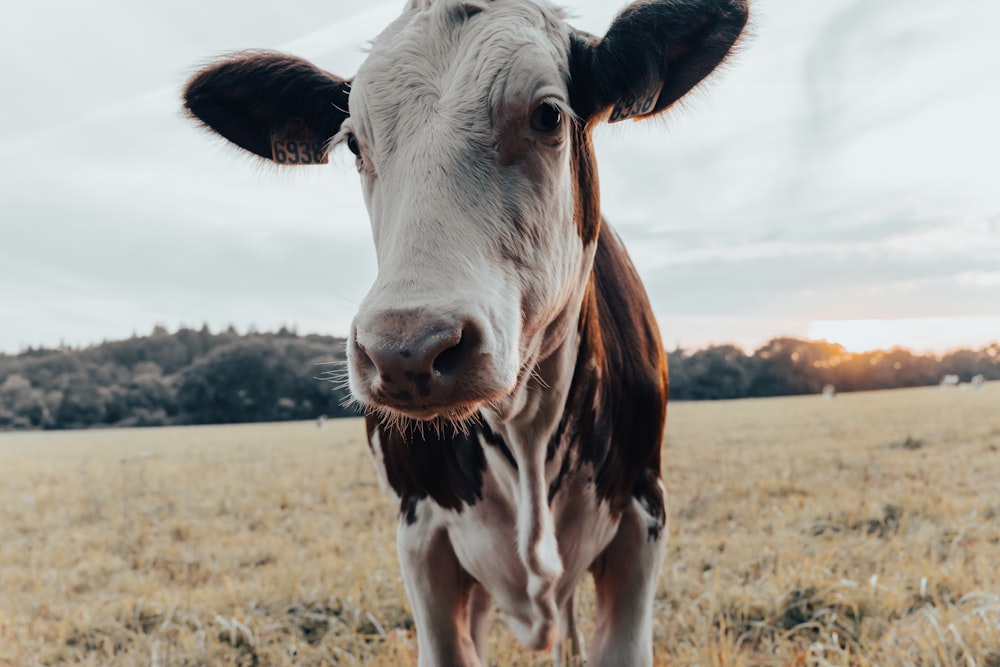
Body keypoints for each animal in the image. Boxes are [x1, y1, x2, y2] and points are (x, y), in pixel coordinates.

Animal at [186, 2, 752, 664]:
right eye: (353, 141)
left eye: (547, 114)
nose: (406, 351)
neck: (527, 429)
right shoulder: (422, 534)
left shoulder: (643, 514)